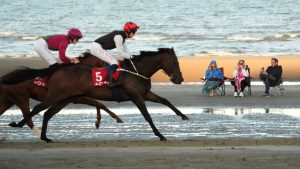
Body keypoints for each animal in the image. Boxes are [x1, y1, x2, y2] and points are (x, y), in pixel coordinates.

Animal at [8, 47, 189, 141]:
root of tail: (57, 69)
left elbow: (165, 101)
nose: (179, 79)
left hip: (65, 99)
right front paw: (160, 135)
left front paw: (184, 116)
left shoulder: (145, 94)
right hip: (56, 95)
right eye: (175, 62)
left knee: (47, 113)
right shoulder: (136, 96)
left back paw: (45, 137)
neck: (136, 72)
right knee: (38, 108)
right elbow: (147, 116)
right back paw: (19, 124)